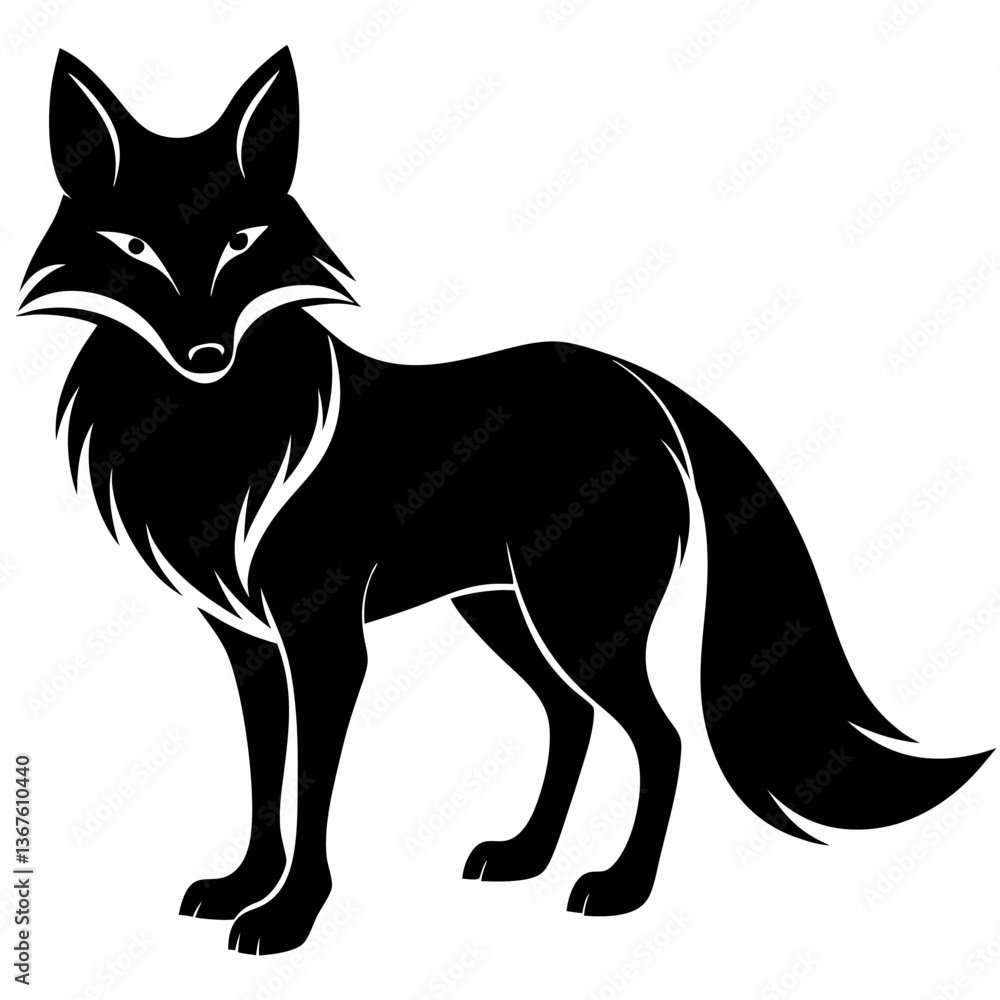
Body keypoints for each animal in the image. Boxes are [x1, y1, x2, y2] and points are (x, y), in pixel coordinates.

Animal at [19, 47, 992, 955]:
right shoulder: (249, 643)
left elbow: (311, 786)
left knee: (660, 735)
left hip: (576, 614)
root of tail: (641, 387)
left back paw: (619, 888)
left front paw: (288, 917)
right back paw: (526, 856)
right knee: (572, 717)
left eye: (242, 241)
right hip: (503, 610)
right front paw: (240, 888)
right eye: (135, 248)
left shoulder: (325, 640)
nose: (207, 354)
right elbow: (266, 773)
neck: (214, 432)